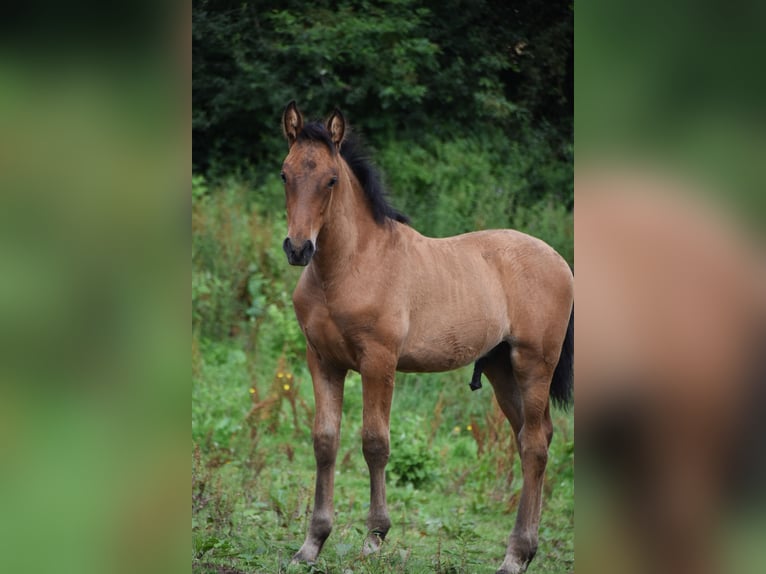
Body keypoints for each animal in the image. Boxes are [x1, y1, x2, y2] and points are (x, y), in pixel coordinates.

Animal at [280, 103, 572, 574]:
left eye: (332, 180)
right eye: (284, 174)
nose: (298, 248)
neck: (348, 266)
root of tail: (560, 261)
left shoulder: (379, 360)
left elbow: (375, 443)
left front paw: (374, 538)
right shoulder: (322, 360)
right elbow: (325, 441)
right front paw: (311, 544)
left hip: (534, 364)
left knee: (533, 446)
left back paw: (514, 555)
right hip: (500, 368)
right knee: (537, 436)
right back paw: (527, 551)